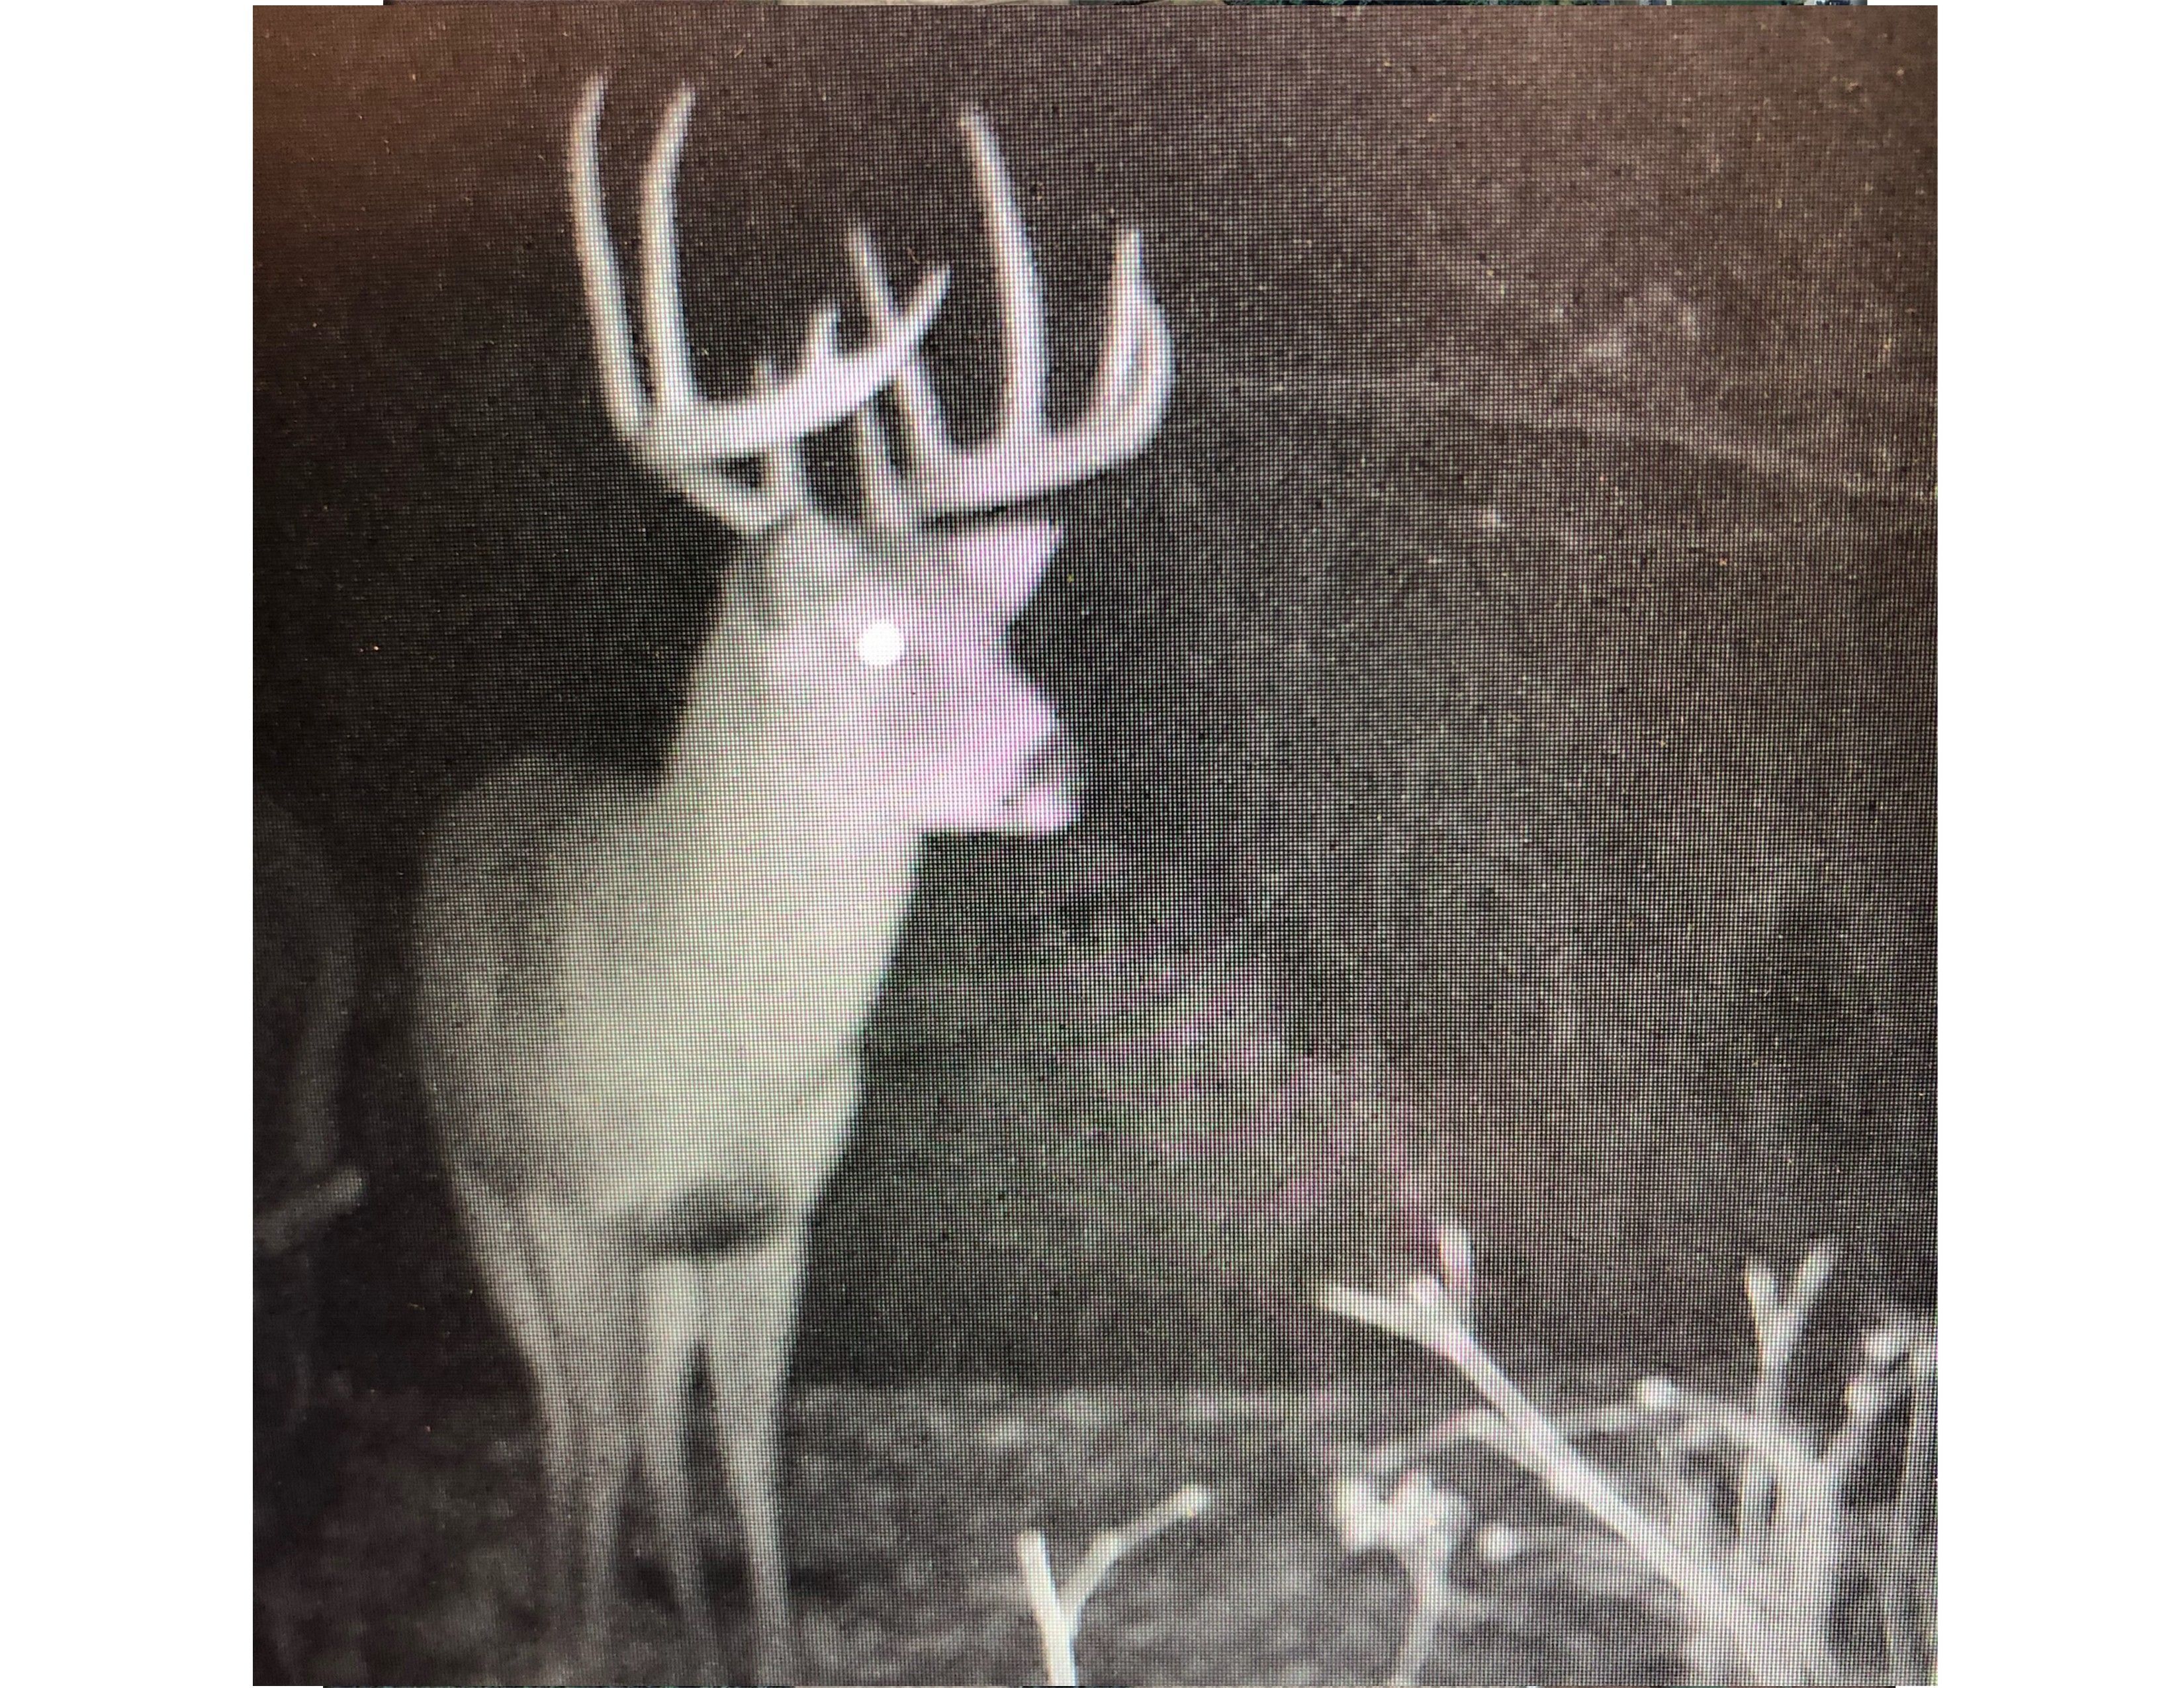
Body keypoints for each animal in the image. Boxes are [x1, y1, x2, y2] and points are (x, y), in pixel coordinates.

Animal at [411, 76, 1171, 1684]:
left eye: (994, 623)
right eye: (875, 640)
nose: (1053, 762)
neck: (701, 1022)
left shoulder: (774, 1207)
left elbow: (751, 1453)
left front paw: (765, 1644)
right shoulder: (571, 1198)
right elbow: (595, 1438)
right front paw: (579, 1641)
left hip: (669, 1250)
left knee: (658, 1417)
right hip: (471, 1170)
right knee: (573, 1413)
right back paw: (570, 1595)